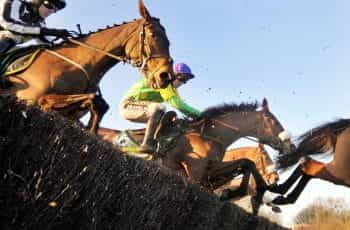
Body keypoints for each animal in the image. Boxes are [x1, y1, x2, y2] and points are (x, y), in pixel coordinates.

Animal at [0, 0, 174, 133]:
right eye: (153, 35)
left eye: (168, 41)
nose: (166, 76)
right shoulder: (30, 98)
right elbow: (92, 100)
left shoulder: (69, 114)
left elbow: (100, 105)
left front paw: (92, 132)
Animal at [98, 98, 296, 214]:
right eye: (274, 121)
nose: (291, 146)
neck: (208, 136)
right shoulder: (196, 173)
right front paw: (243, 191)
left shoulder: (209, 171)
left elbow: (246, 163)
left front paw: (238, 191)